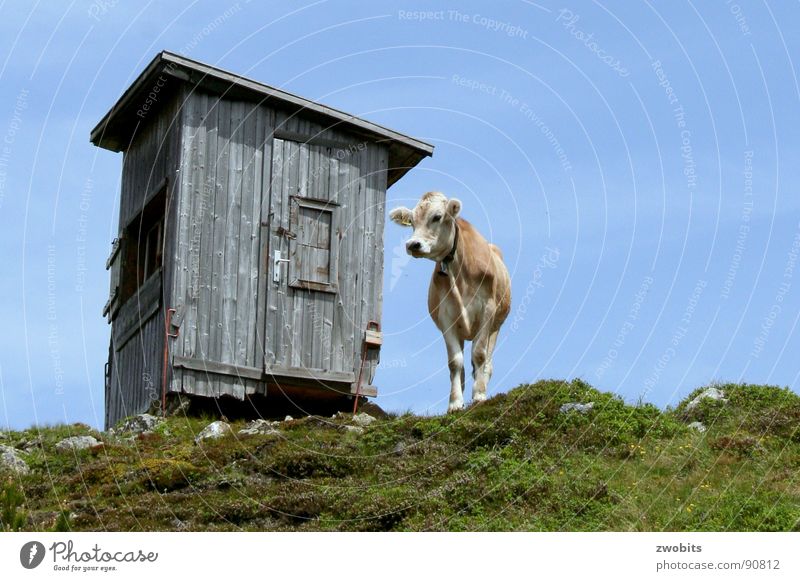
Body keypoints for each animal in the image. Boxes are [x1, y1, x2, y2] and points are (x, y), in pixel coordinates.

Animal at [390, 193, 512, 410]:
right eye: (411, 221)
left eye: (437, 216)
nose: (413, 244)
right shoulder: (446, 317)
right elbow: (455, 362)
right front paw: (455, 402)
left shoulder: (487, 311)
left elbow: (479, 355)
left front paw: (479, 395)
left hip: (496, 326)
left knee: (487, 363)